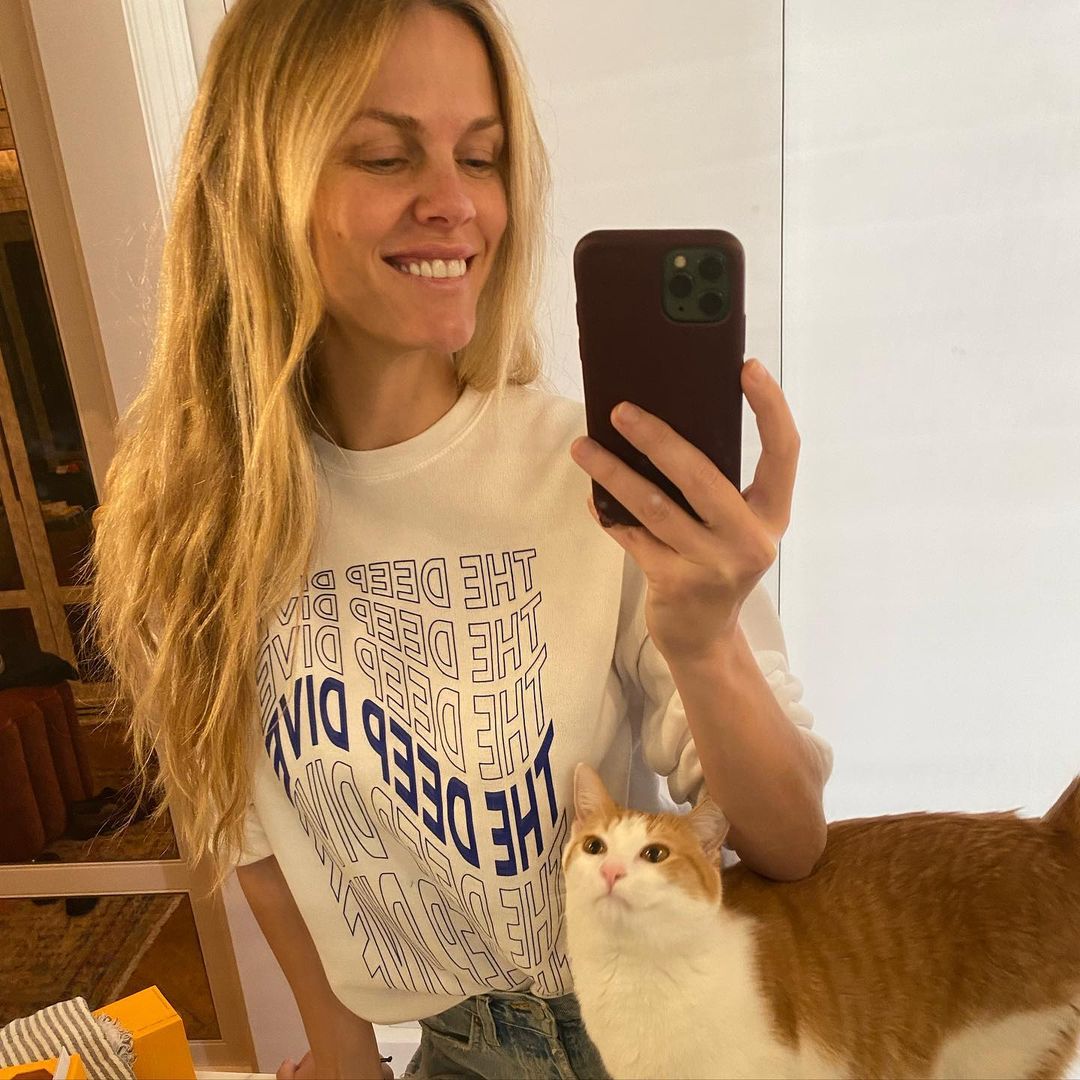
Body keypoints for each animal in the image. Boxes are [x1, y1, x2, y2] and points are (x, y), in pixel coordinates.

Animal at [562, 763, 1080, 1080]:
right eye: (595, 847)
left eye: (655, 854)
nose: (611, 871)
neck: (635, 976)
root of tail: (1048, 834)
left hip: (998, 1050)